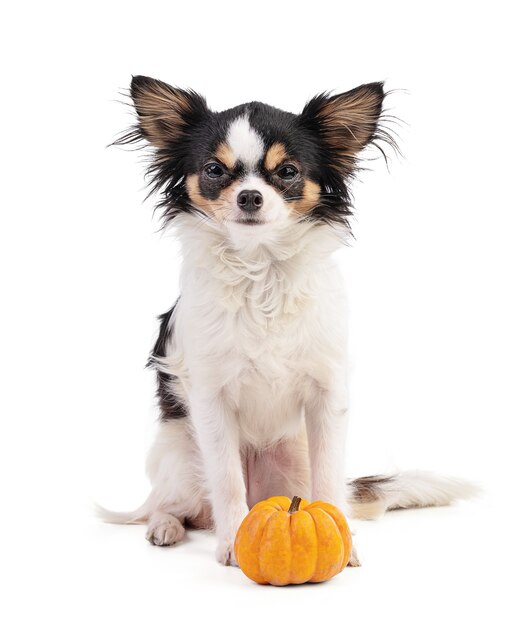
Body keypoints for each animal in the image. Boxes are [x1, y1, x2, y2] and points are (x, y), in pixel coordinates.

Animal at [98, 75, 474, 564]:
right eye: (214, 170)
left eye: (289, 171)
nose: (250, 195)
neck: (262, 270)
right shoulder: (211, 400)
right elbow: (226, 482)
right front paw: (232, 544)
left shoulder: (328, 397)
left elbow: (329, 480)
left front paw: (344, 545)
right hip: (180, 457)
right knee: (175, 505)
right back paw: (166, 526)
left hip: (294, 463)